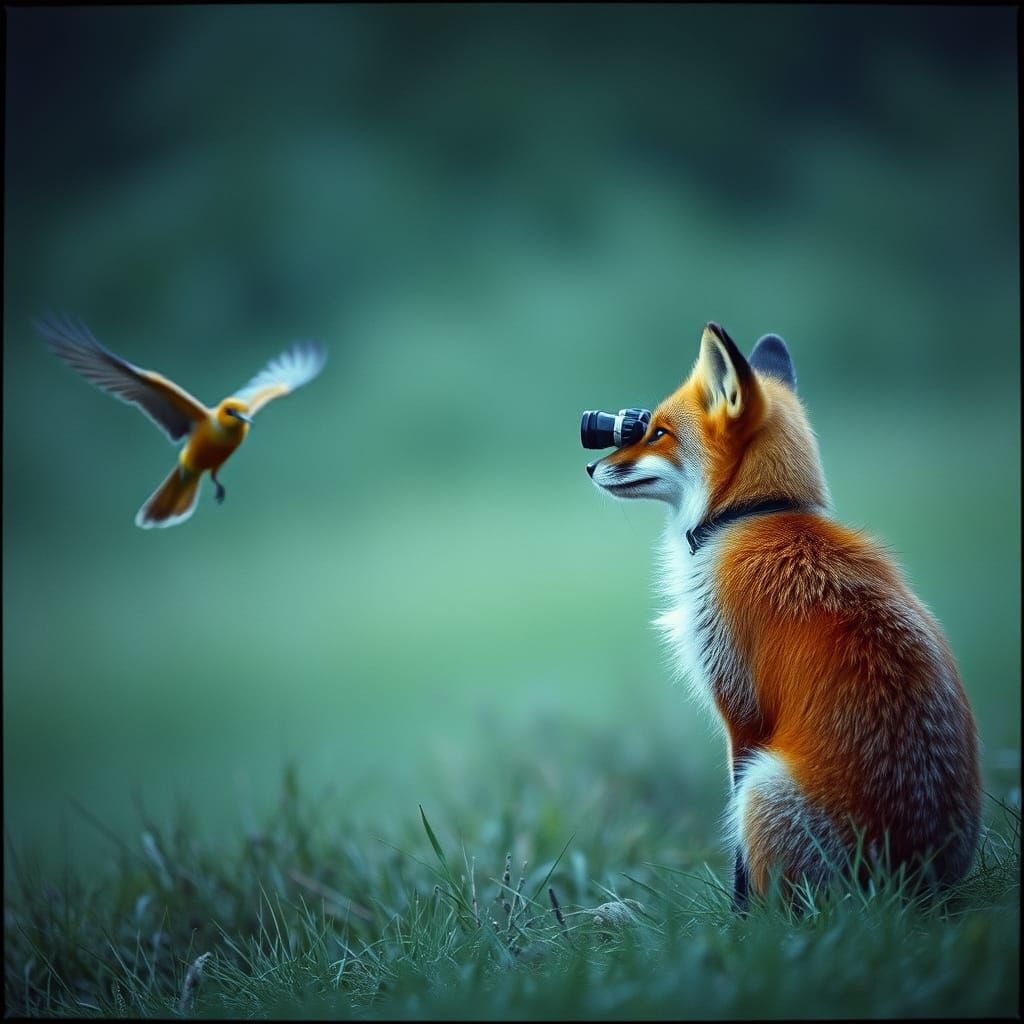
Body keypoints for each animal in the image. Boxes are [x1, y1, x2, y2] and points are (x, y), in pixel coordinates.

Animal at [586, 322, 981, 906]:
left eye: (657, 432)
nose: (590, 464)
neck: (750, 515)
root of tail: (918, 888)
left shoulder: (741, 712)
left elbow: (738, 861)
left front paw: (740, 918)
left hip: (763, 787)